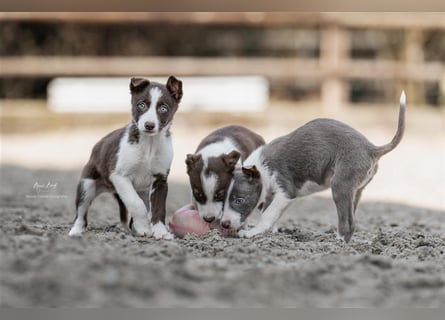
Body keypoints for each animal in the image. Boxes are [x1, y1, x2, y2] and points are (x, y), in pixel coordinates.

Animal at [68, 76, 182, 239]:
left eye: (163, 108)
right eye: (141, 105)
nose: (149, 125)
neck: (149, 143)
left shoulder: (160, 180)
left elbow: (158, 208)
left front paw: (160, 232)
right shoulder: (119, 176)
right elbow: (136, 203)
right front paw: (143, 227)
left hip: (143, 190)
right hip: (87, 185)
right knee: (80, 214)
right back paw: (76, 231)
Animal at [222, 92, 406, 242]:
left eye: (239, 200)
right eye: (221, 198)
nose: (224, 224)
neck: (260, 167)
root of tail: (371, 148)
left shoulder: (285, 191)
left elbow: (267, 215)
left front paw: (252, 232)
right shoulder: (280, 196)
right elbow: (272, 214)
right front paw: (271, 233)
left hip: (341, 186)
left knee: (348, 222)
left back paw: (337, 243)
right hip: (356, 190)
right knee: (352, 220)